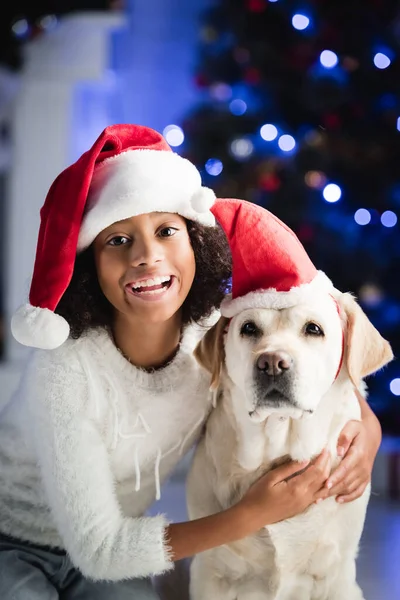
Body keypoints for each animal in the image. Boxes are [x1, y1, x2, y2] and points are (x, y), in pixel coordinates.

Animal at [186, 290, 392, 600]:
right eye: (249, 328)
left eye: (313, 329)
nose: (271, 362)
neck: (278, 448)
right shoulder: (211, 574)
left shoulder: (337, 576)